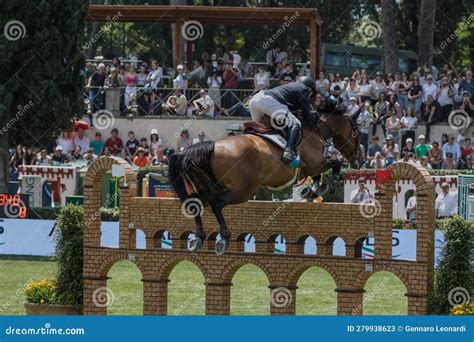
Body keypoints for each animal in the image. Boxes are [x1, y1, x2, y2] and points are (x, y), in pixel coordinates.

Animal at [168, 112, 362, 254]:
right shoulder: (317, 164)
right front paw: (331, 184)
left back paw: (198, 237)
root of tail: (211, 146)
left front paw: (314, 190)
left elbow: (317, 178)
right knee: (216, 203)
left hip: (214, 186)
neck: (316, 131)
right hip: (242, 190)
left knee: (195, 202)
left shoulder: (313, 169)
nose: (358, 159)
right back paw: (223, 237)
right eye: (356, 132)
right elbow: (335, 165)